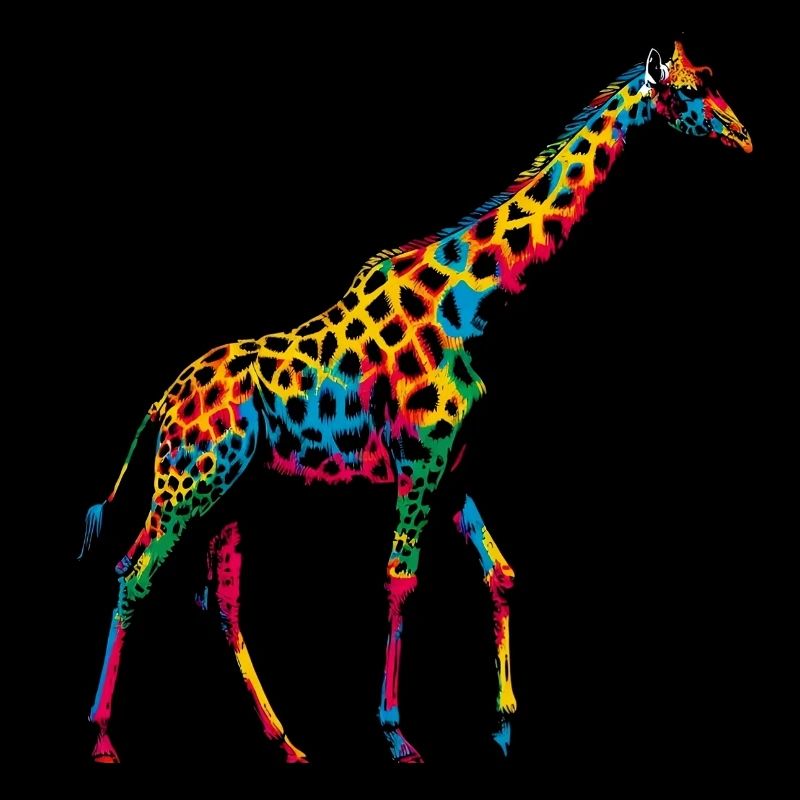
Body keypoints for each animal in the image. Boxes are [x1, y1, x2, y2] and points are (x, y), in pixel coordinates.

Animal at [84, 42, 751, 764]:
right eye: (691, 91)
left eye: (712, 79)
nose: (743, 136)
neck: (474, 303)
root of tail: (161, 402)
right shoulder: (420, 459)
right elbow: (400, 581)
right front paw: (398, 735)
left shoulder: (452, 467)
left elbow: (500, 574)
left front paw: (504, 726)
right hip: (189, 481)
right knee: (135, 573)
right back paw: (103, 738)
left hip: (235, 495)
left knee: (219, 601)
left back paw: (287, 742)